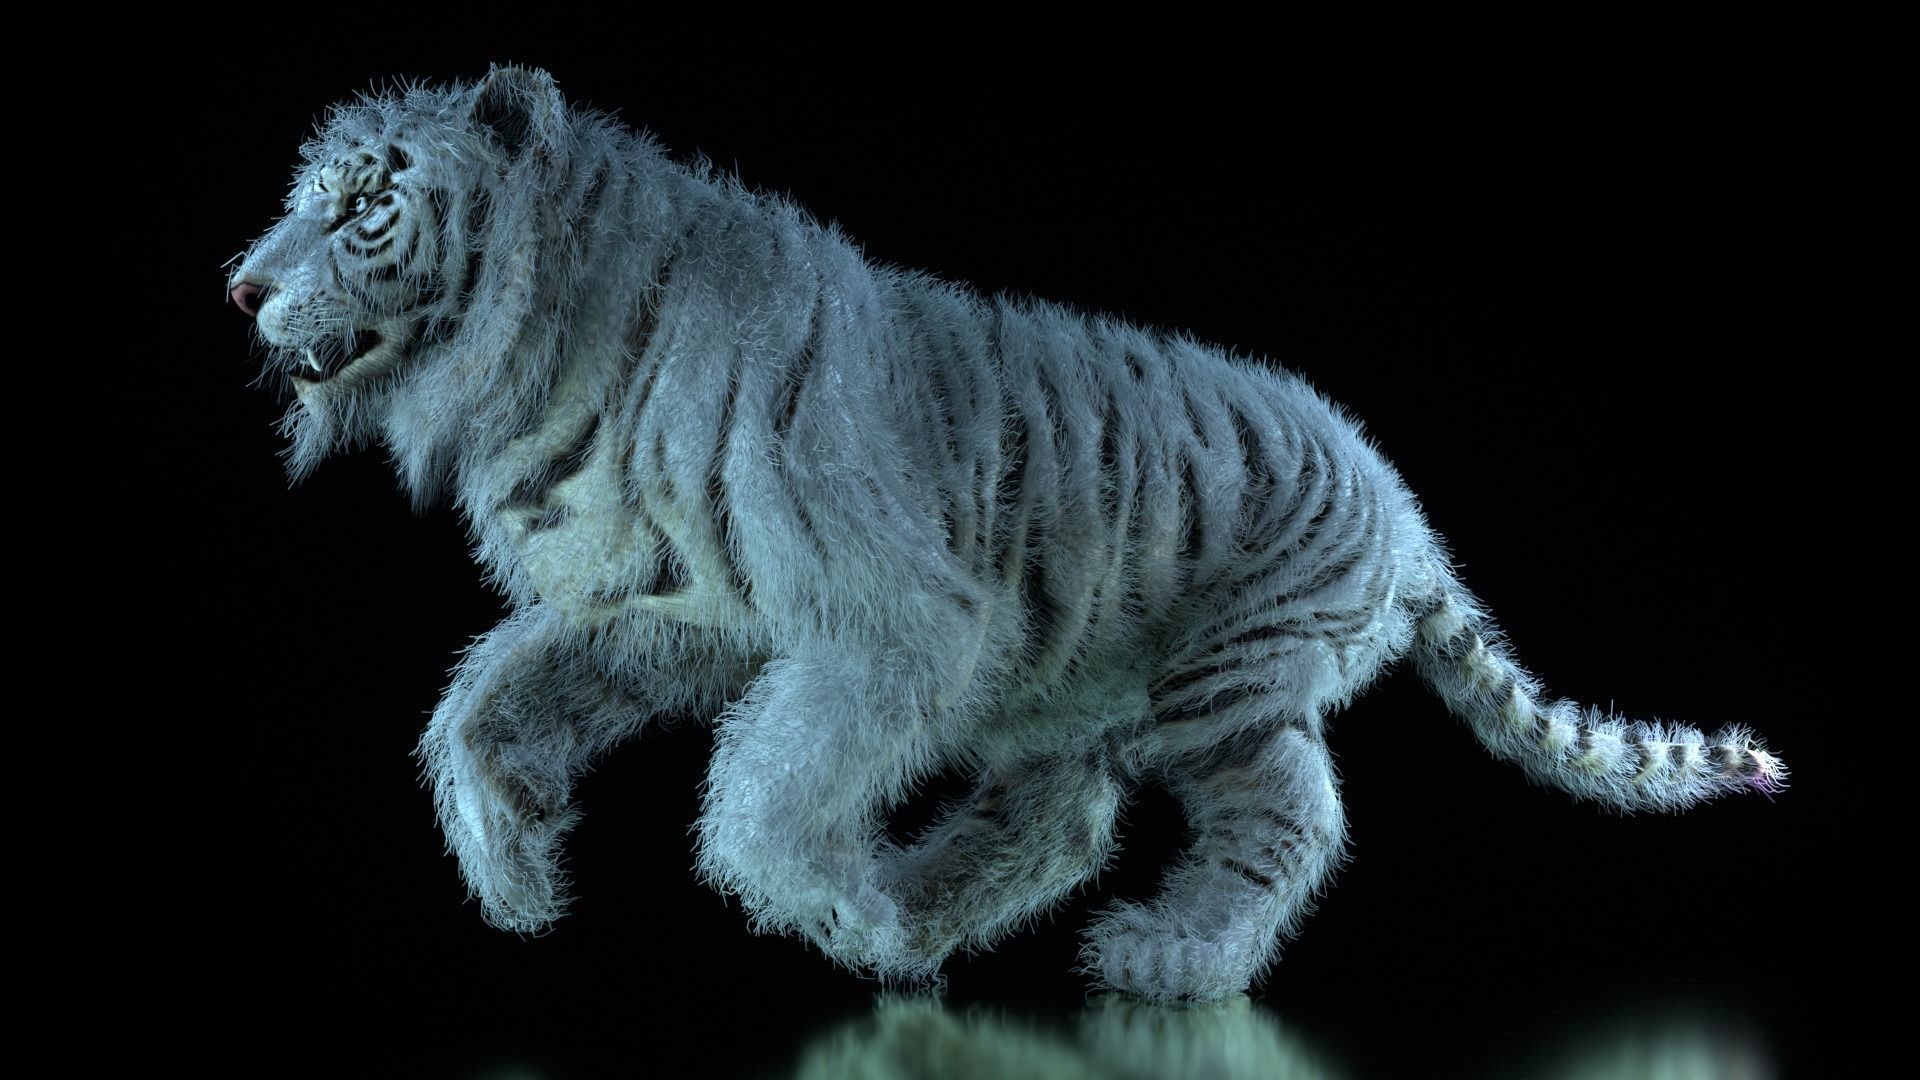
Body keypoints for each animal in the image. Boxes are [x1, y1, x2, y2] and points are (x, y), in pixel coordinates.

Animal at [227, 66, 1788, 1002]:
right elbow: (490, 693)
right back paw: (928, 914)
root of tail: (1403, 507)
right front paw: (512, 867)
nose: (239, 284)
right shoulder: (670, 604)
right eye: (305, 201)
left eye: (363, 205)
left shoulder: (895, 622)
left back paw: (1160, 957)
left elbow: (766, 787)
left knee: (1285, 816)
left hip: (1223, 688)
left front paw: (831, 911)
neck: (552, 354)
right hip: (1074, 687)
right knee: (1065, 816)